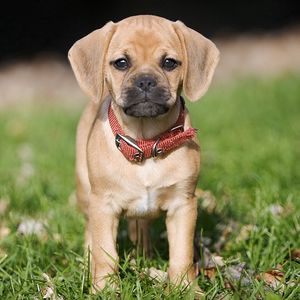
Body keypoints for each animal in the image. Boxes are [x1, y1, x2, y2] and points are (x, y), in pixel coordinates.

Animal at [68, 15, 220, 292]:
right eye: (121, 62)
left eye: (169, 63)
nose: (146, 81)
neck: (145, 142)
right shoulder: (103, 206)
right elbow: (105, 253)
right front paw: (105, 289)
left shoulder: (183, 205)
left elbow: (181, 255)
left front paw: (185, 288)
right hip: (85, 192)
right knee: (89, 234)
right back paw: (87, 264)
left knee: (141, 227)